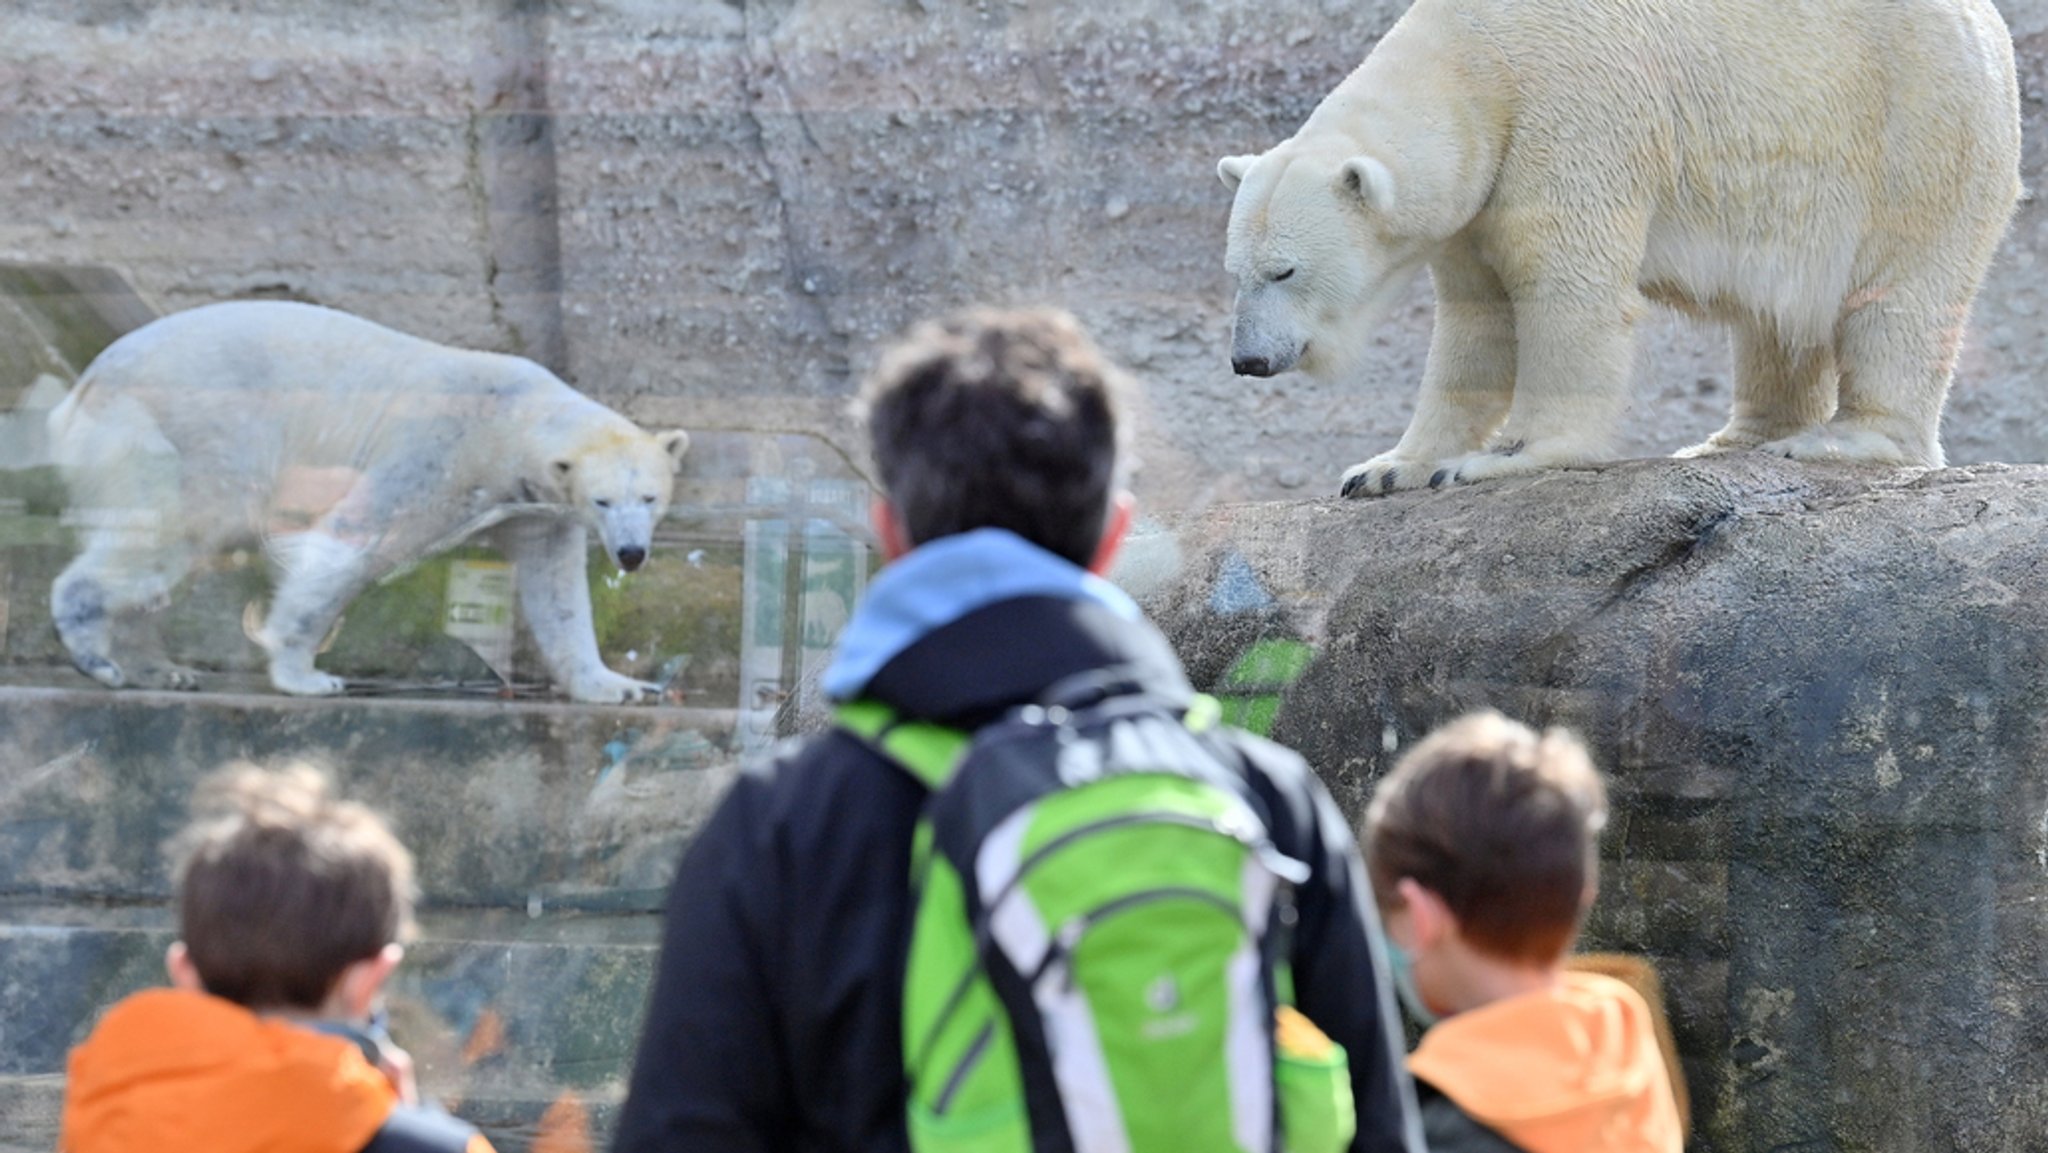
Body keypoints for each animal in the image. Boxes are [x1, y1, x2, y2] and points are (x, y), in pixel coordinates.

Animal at [46, 296, 688, 704]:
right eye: (603, 501)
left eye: (650, 498)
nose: (631, 554)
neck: (510, 419)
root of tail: (85, 385)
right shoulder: (435, 451)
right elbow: (349, 537)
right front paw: (307, 676)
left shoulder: (535, 509)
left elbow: (556, 593)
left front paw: (621, 686)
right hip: (188, 430)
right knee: (177, 528)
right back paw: (100, 656)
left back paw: (157, 668)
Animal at [1220, 0, 2023, 491]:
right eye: (1236, 272)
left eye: (1284, 269)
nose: (1248, 360)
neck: (1474, 57)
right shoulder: (1478, 199)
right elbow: (1475, 323)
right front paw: (1387, 468)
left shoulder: (1569, 114)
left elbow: (1565, 290)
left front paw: (1505, 460)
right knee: (1776, 315)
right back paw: (1732, 440)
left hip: (1918, 127)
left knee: (1899, 293)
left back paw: (1844, 441)